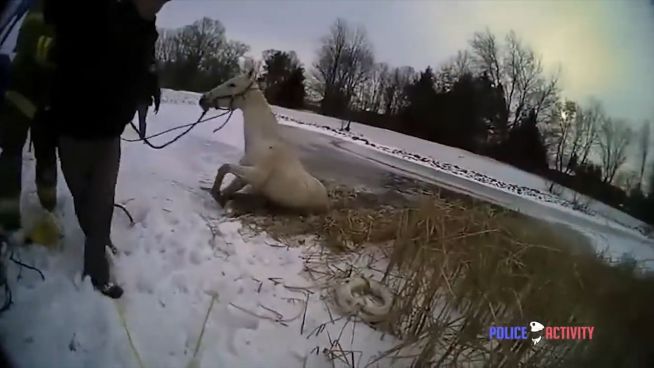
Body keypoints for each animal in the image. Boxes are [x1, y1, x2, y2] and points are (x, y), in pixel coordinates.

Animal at [197, 58, 330, 213]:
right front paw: (217, 194)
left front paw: (216, 194)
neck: (264, 142)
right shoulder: (244, 177)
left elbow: (225, 167)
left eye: (232, 84)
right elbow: (228, 181)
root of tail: (326, 200)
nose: (203, 99)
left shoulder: (255, 175)